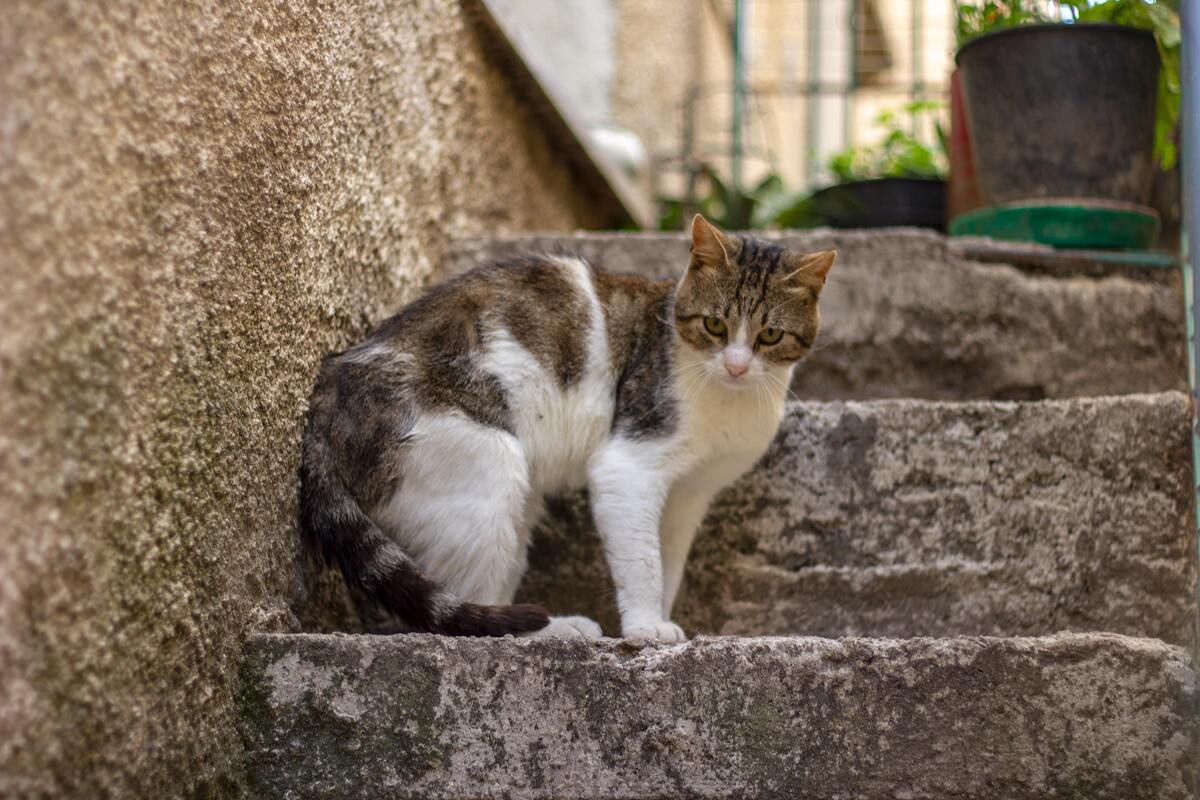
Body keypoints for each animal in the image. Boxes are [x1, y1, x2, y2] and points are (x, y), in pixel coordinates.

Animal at [300, 215, 835, 642]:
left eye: (770, 335)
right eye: (715, 325)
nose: (737, 365)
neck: (730, 400)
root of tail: (335, 378)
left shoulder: (688, 496)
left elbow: (668, 562)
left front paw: (661, 618)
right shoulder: (627, 468)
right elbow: (642, 561)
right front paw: (644, 629)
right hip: (485, 470)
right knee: (473, 613)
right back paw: (552, 629)